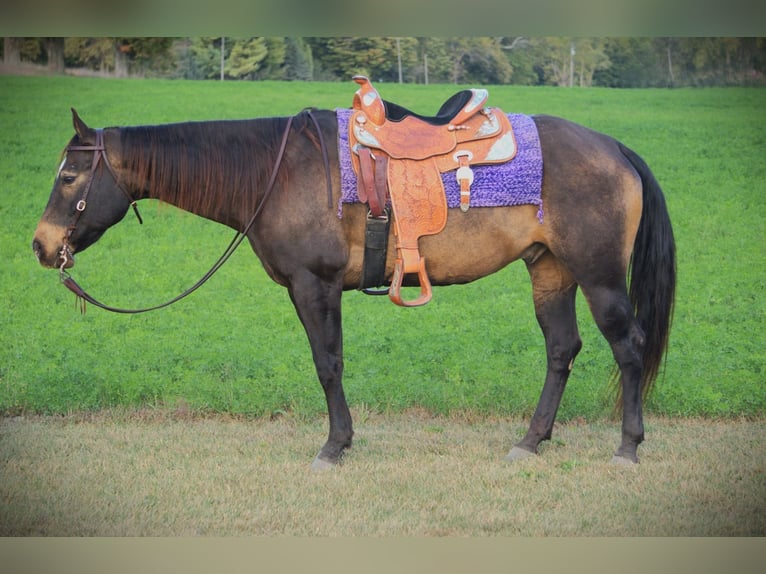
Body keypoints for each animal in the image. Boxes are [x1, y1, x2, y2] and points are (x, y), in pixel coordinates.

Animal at [32, 98, 675, 469]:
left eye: (69, 176)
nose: (41, 245)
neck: (277, 173)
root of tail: (614, 148)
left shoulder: (312, 285)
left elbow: (328, 363)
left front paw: (335, 446)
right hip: (550, 271)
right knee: (562, 349)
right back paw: (531, 441)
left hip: (599, 277)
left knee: (629, 347)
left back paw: (627, 447)